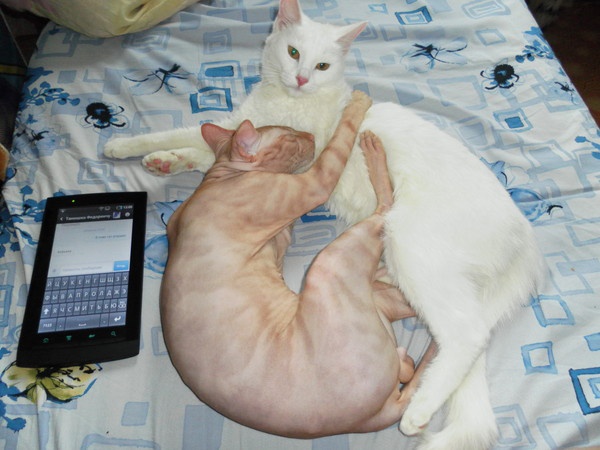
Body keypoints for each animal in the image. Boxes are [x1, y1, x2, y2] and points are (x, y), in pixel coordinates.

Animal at [160, 92, 422, 438]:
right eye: (289, 137)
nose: (310, 136)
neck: (222, 174)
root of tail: (368, 419)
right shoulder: (314, 183)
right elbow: (340, 139)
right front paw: (355, 106)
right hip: (330, 263)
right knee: (384, 209)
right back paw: (374, 151)